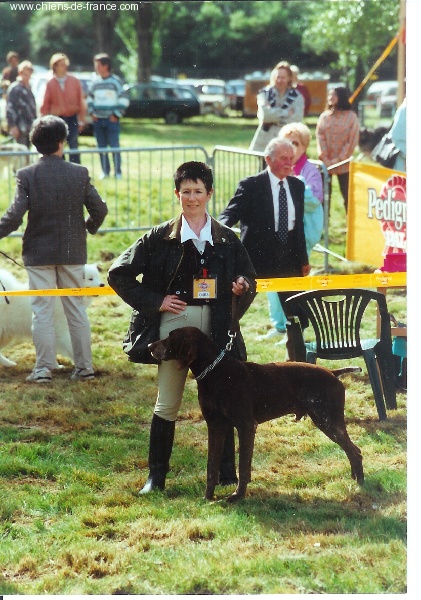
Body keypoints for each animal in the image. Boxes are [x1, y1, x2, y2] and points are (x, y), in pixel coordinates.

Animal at [148, 326, 364, 500]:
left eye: (171, 336)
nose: (149, 345)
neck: (216, 373)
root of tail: (333, 372)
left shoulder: (246, 426)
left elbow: (244, 466)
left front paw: (237, 496)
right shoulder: (216, 426)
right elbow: (212, 465)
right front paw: (208, 496)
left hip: (328, 421)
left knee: (355, 452)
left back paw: (360, 484)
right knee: (353, 450)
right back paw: (355, 478)